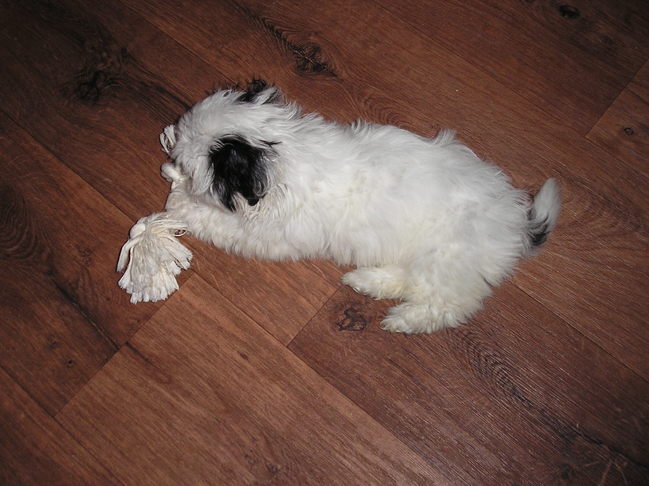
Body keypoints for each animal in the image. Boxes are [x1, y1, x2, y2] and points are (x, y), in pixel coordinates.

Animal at [145, 80, 560, 333]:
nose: (173, 150)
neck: (282, 157)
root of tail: (518, 221)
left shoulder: (268, 233)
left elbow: (217, 222)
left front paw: (178, 201)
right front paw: (172, 176)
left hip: (448, 261)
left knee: (443, 304)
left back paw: (399, 319)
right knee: (408, 278)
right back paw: (366, 281)